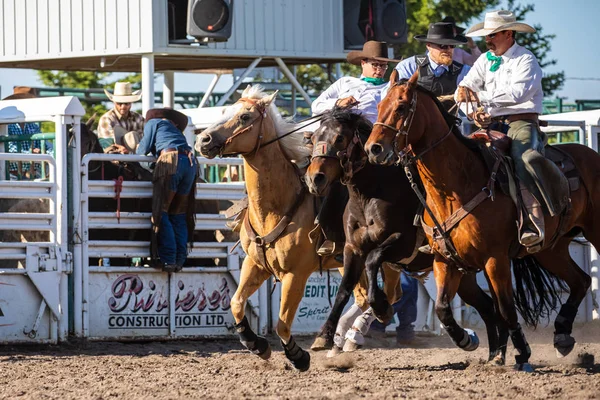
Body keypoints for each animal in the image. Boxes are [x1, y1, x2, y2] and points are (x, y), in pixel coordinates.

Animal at [196, 86, 376, 370]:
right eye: (227, 110)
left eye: (245, 116)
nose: (202, 140)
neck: (276, 207)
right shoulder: (255, 264)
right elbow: (236, 302)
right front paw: (255, 344)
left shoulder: (296, 274)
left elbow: (282, 324)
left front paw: (298, 356)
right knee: (365, 297)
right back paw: (340, 343)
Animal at [304, 106, 506, 362]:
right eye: (313, 138)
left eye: (340, 137)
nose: (315, 178)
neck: (371, 194)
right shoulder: (353, 249)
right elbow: (343, 290)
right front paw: (324, 336)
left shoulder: (402, 242)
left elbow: (373, 262)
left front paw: (381, 308)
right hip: (462, 273)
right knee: (487, 306)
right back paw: (489, 352)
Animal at [366, 69, 596, 372]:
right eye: (380, 105)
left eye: (402, 107)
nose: (373, 149)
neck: (456, 187)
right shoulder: (444, 260)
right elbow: (443, 307)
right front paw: (467, 339)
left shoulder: (495, 259)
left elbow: (506, 308)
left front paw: (522, 354)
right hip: (551, 249)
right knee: (580, 280)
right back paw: (561, 337)